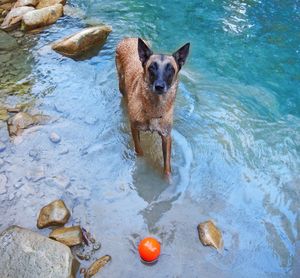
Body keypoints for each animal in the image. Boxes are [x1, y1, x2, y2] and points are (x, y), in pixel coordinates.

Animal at [115, 37, 190, 176]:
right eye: (151, 67)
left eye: (170, 69)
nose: (159, 86)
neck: (154, 108)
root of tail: (129, 38)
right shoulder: (134, 128)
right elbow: (139, 151)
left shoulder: (166, 136)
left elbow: (167, 166)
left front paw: (167, 179)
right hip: (121, 86)